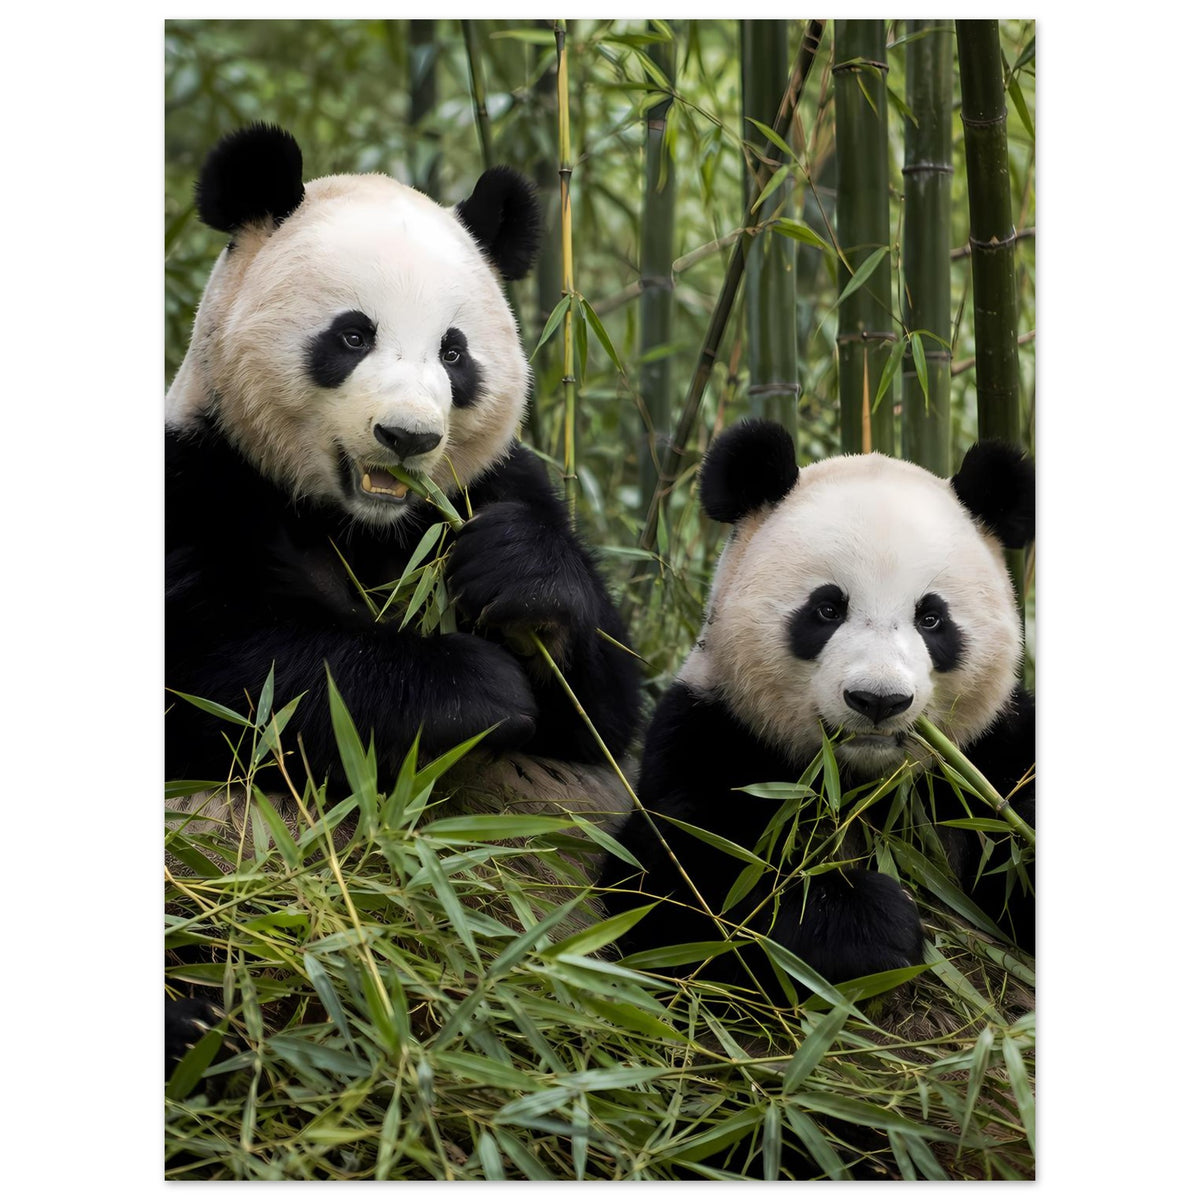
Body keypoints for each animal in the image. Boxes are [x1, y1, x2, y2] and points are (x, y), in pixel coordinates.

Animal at [166, 125, 641, 1069]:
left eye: (455, 352)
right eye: (352, 334)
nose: (409, 437)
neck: (362, 526)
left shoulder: (495, 486)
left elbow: (603, 714)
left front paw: (521, 581)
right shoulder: (198, 479)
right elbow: (236, 679)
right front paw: (474, 689)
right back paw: (206, 1023)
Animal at [600, 418, 1034, 998]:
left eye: (932, 619)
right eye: (827, 609)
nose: (878, 700)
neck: (859, 783)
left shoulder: (989, 755)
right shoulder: (713, 732)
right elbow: (684, 888)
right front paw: (868, 924)